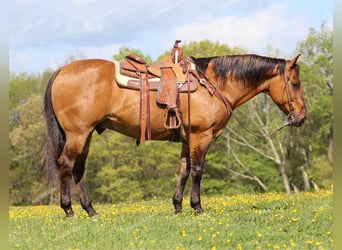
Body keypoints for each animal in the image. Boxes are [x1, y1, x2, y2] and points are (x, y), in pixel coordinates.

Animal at [43, 47, 308, 216]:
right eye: (295, 83)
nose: (301, 117)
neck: (213, 85)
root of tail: (61, 71)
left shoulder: (187, 139)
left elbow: (184, 171)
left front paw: (178, 205)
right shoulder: (202, 136)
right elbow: (198, 171)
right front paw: (197, 207)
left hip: (85, 135)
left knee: (79, 169)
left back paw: (90, 210)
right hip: (77, 134)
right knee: (66, 165)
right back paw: (68, 210)